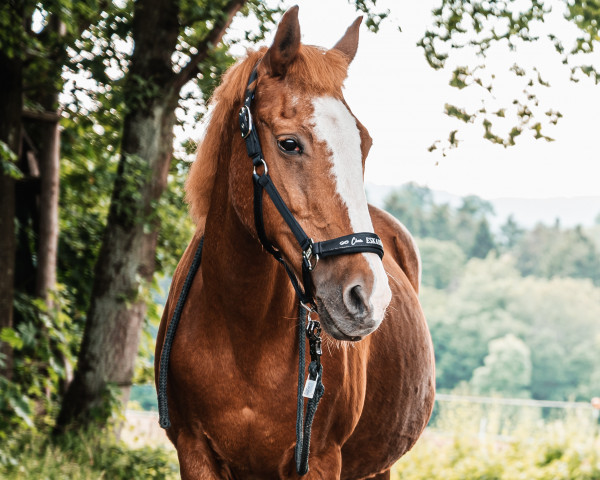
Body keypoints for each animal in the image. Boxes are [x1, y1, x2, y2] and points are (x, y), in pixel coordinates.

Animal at [157, 7, 434, 480]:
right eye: (289, 143)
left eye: (364, 144)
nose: (368, 297)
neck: (243, 335)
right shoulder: (194, 455)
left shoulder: (320, 461)